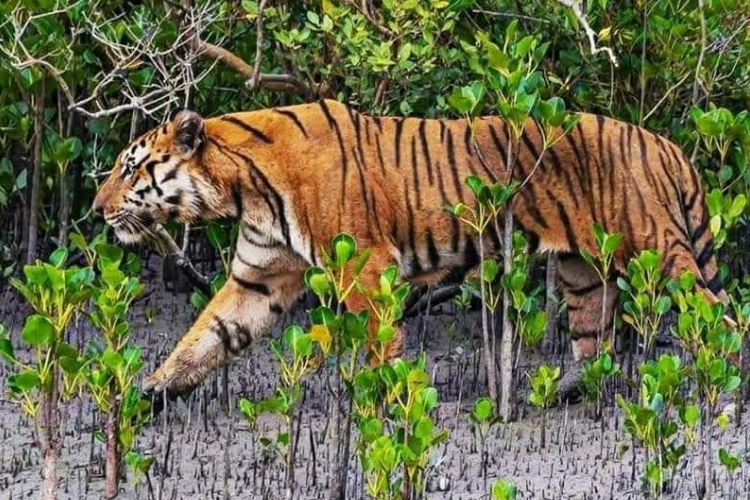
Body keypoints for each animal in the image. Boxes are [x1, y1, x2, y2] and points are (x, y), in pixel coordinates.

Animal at [89, 98, 728, 402]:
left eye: (130, 168)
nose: (97, 209)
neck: (243, 187)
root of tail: (667, 144)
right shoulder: (259, 277)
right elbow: (206, 336)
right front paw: (148, 395)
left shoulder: (364, 267)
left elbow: (381, 347)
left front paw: (392, 402)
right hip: (581, 267)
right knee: (595, 333)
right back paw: (563, 393)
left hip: (659, 252)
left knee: (717, 317)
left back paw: (719, 389)